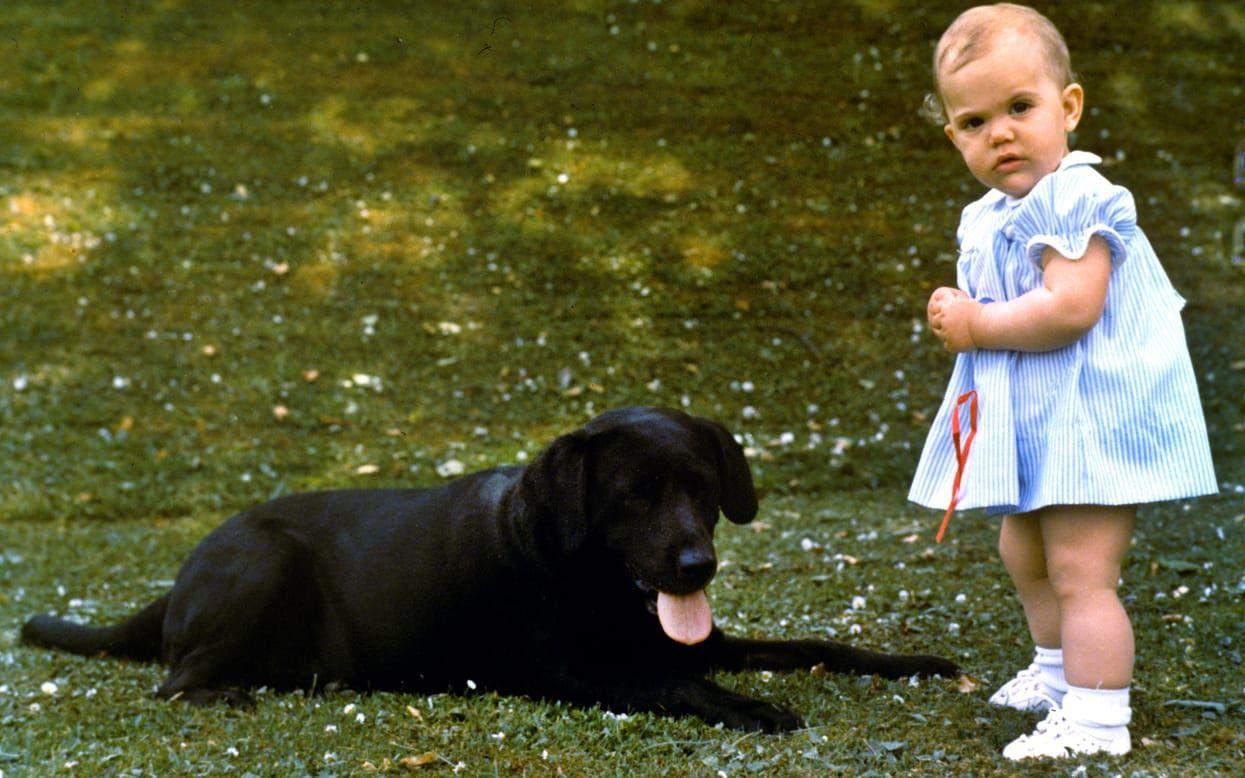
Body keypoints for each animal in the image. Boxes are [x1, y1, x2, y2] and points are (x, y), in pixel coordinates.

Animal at [19, 405, 956, 726]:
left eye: (699, 487)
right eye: (632, 498)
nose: (696, 563)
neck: (589, 582)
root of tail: (178, 578)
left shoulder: (699, 637)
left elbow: (824, 646)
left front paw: (913, 661)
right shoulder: (569, 671)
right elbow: (674, 684)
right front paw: (752, 707)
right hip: (264, 556)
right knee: (173, 679)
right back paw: (234, 690)